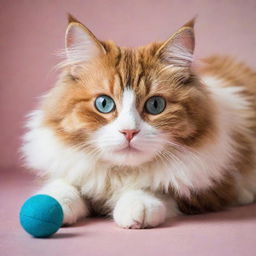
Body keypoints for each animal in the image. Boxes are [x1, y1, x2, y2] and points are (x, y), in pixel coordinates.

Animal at [21, 15, 256, 229]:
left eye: (155, 105)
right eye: (104, 103)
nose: (129, 132)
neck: (121, 173)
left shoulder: (213, 189)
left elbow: (158, 188)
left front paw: (137, 204)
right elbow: (66, 186)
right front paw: (54, 204)